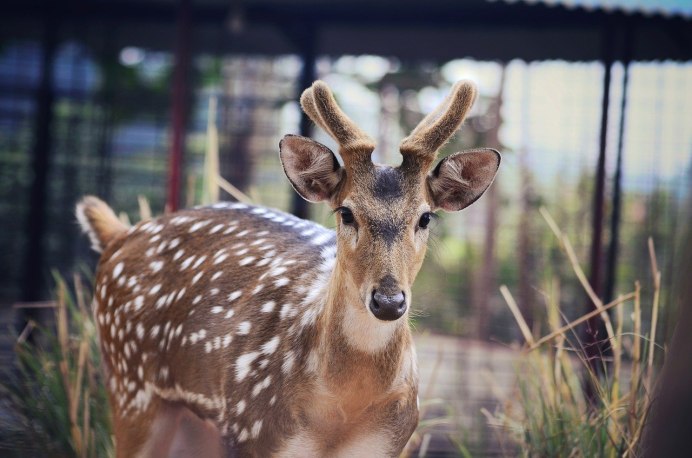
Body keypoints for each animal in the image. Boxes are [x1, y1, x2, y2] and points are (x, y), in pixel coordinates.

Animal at [77, 80, 498, 456]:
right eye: (346, 212)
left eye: (425, 218)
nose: (389, 301)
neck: (343, 411)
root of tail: (119, 235)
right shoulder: (252, 431)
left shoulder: (389, 442)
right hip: (131, 388)